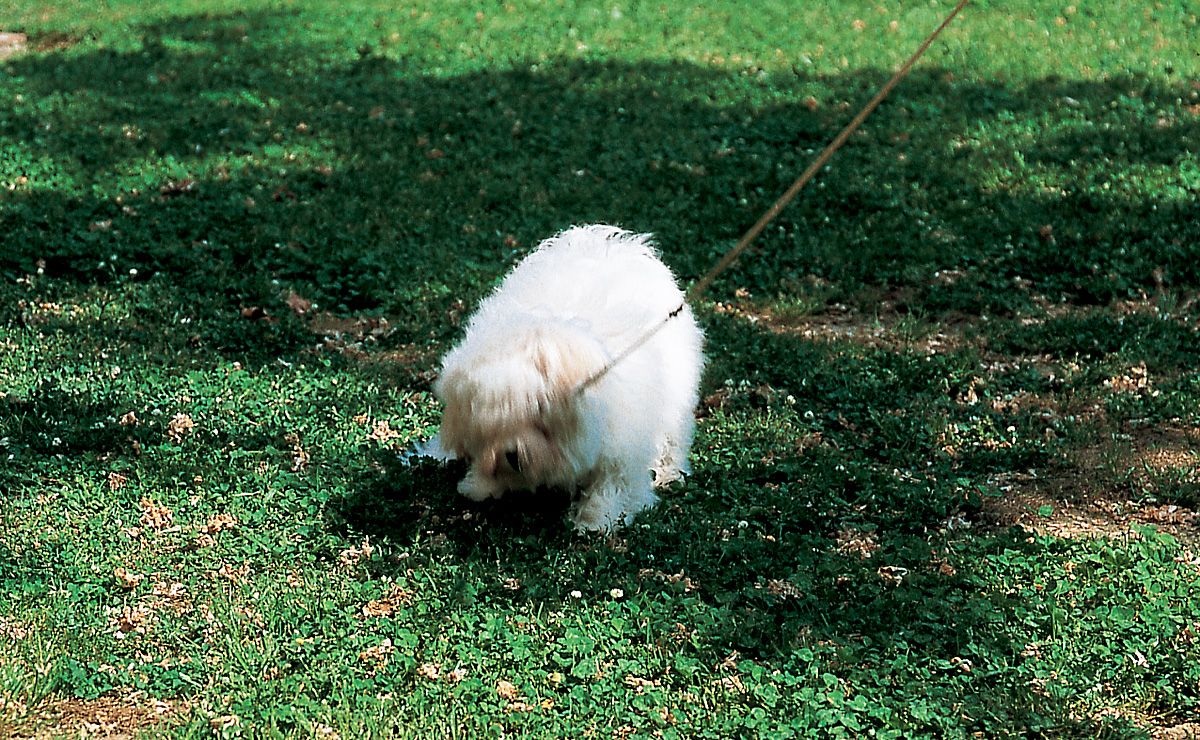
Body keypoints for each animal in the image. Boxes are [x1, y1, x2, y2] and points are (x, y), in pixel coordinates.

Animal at [429, 225, 705, 530]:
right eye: (492, 426)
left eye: (538, 417)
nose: (511, 453)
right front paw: (478, 486)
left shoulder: (620, 445)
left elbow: (610, 484)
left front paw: (594, 520)